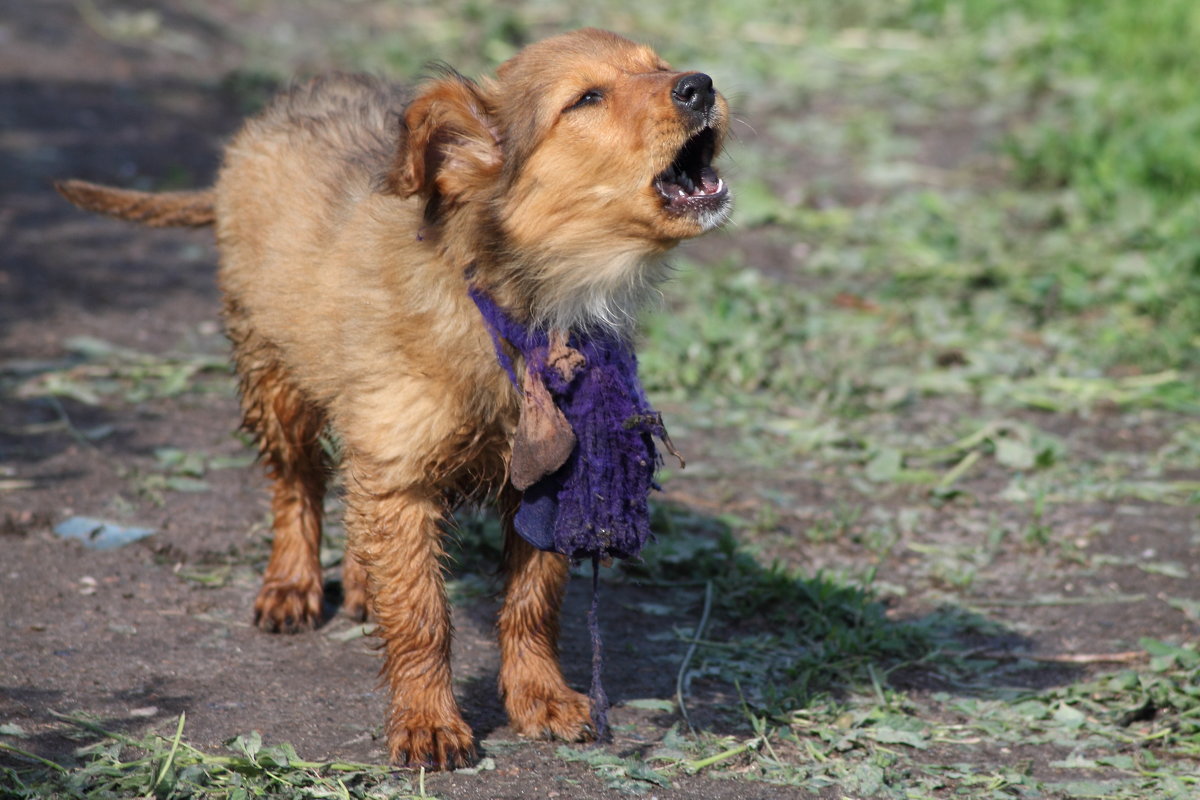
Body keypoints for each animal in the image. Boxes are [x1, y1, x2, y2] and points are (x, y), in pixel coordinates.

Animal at [56, 28, 729, 767]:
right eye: (586, 99)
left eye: (657, 64)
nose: (700, 84)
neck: (515, 304)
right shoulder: (403, 473)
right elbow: (422, 614)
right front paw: (428, 721)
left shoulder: (548, 477)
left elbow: (532, 602)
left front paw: (539, 699)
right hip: (274, 376)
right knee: (297, 483)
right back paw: (290, 585)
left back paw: (357, 582)